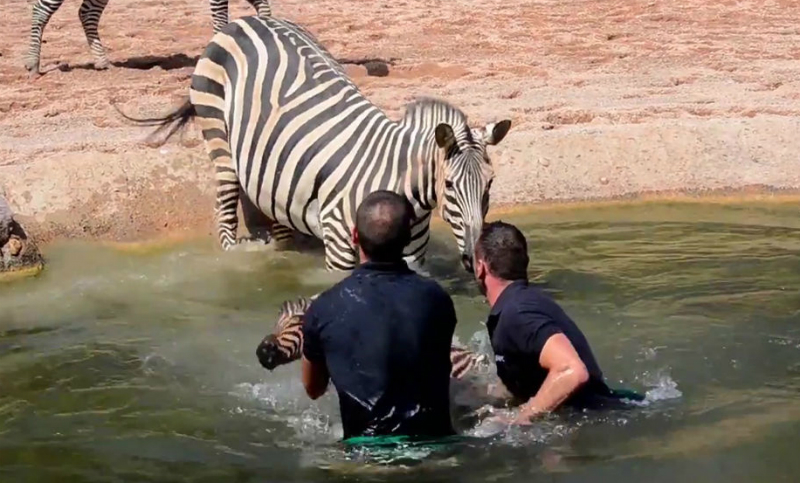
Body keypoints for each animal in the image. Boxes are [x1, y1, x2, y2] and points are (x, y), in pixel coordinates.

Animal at [25, 0, 271, 74]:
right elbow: (220, 20)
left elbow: (265, 10)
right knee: (40, 11)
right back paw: (33, 64)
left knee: (86, 13)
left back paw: (102, 62)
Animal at [131, 16, 512, 273]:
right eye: (449, 185)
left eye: (490, 185)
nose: (473, 260)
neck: (404, 188)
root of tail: (245, 20)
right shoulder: (340, 244)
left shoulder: (413, 256)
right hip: (216, 132)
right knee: (225, 210)